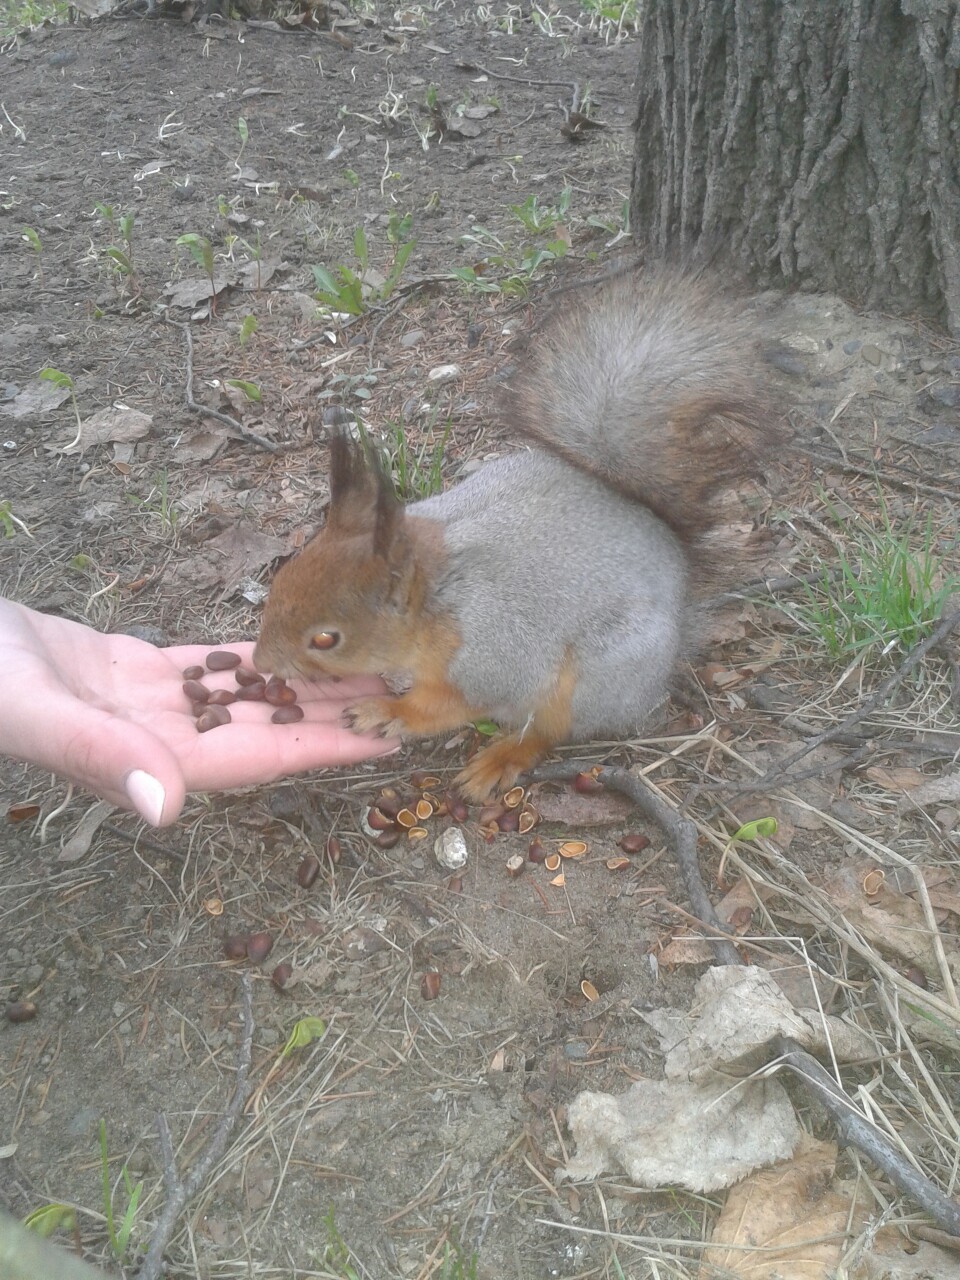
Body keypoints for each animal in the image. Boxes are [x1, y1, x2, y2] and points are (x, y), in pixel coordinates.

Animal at [252, 272, 783, 798]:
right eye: (281, 580)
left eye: (326, 639)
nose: (259, 662)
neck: (439, 592)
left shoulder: (497, 654)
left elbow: (454, 704)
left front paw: (390, 711)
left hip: (596, 681)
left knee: (552, 731)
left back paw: (503, 758)